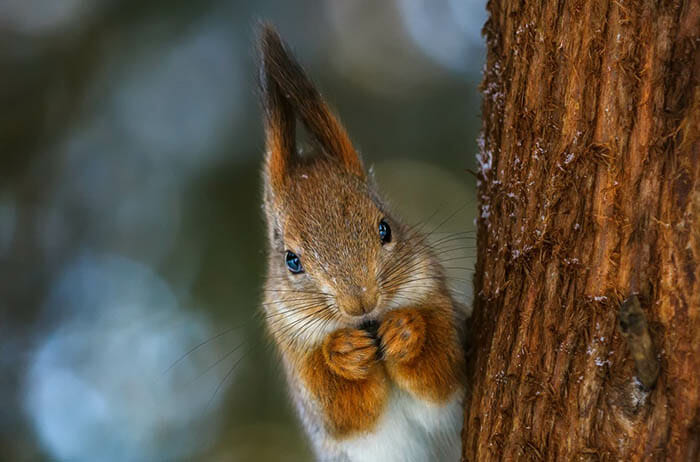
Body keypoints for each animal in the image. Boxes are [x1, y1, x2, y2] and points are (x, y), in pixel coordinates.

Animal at [258, 25, 467, 462]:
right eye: (291, 261)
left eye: (385, 228)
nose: (362, 303)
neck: (368, 324)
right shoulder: (300, 364)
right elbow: (344, 411)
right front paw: (343, 354)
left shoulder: (439, 301)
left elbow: (442, 374)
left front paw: (407, 329)